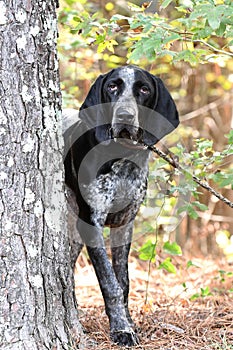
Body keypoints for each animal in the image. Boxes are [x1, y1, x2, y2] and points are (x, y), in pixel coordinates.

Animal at [62, 64, 179, 346]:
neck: (122, 156)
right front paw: (121, 329)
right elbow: (110, 283)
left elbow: (123, 282)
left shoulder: (125, 225)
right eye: (112, 86)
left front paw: (129, 322)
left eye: (144, 90)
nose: (125, 115)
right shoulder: (92, 224)